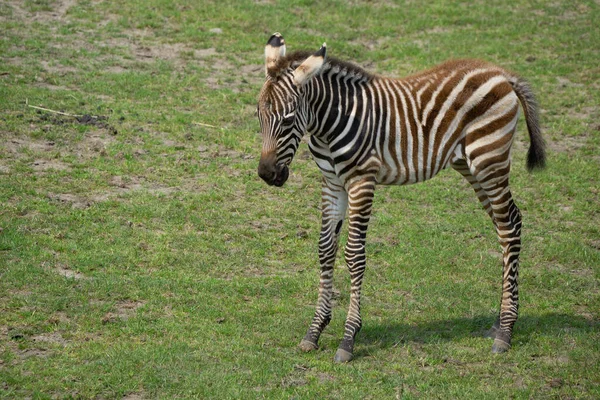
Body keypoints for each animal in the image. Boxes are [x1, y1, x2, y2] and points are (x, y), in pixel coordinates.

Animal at [255, 32, 548, 362]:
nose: (267, 174)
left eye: (288, 119)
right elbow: (325, 249)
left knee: (509, 227)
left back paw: (506, 332)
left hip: (490, 161)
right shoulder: (332, 183)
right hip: (472, 166)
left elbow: (354, 255)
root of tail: (501, 74)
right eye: (258, 115)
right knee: (508, 223)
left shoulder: (362, 181)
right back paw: (500, 322)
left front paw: (348, 339)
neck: (329, 125)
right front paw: (315, 331)